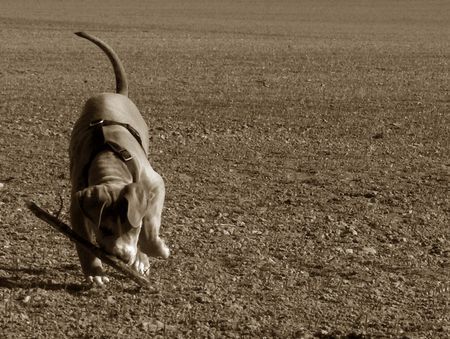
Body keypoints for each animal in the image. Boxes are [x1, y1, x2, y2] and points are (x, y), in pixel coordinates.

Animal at [69, 32, 170, 286]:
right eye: (104, 229)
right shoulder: (77, 204)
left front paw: (156, 250)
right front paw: (95, 272)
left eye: (132, 228)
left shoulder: (154, 184)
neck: (110, 162)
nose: (121, 256)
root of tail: (114, 94)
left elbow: (149, 226)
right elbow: (84, 243)